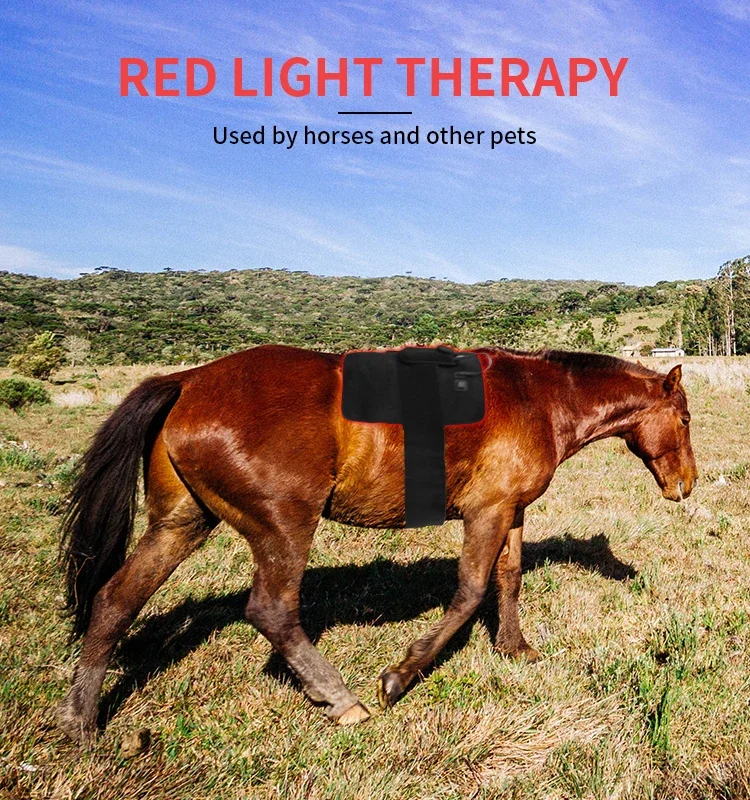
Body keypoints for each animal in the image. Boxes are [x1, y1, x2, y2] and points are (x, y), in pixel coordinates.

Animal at [56, 345, 697, 743]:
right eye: (686, 419)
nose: (686, 485)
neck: (536, 398)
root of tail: (188, 380)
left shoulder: (510, 510)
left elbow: (508, 580)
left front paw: (514, 648)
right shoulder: (486, 513)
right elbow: (469, 592)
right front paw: (403, 674)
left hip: (181, 524)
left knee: (115, 601)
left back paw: (81, 722)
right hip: (283, 526)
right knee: (272, 612)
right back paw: (341, 699)